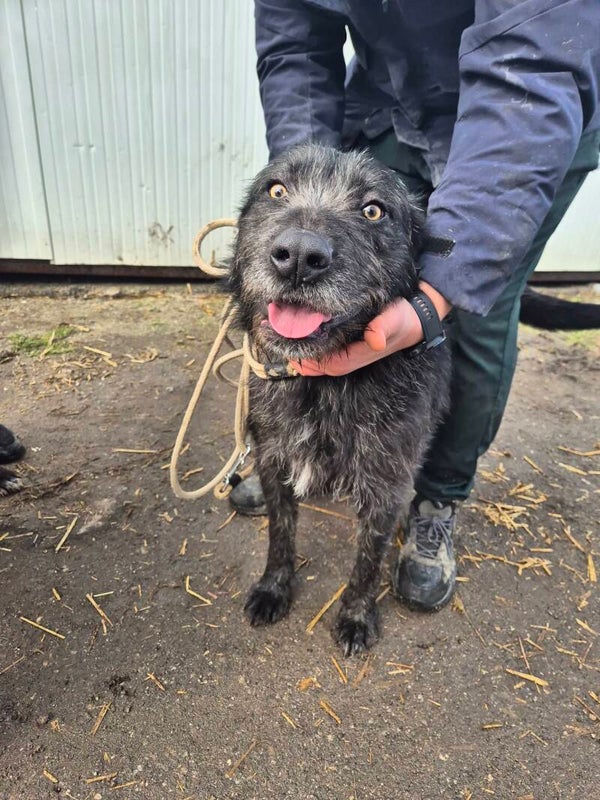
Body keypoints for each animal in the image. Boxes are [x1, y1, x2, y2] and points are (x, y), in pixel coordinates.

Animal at [229, 144, 450, 655]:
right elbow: (280, 534)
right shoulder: (274, 458)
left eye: (373, 211)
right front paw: (274, 588)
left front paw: (355, 615)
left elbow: (368, 559)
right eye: (276, 190)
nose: (298, 256)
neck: (323, 388)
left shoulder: (386, 483)